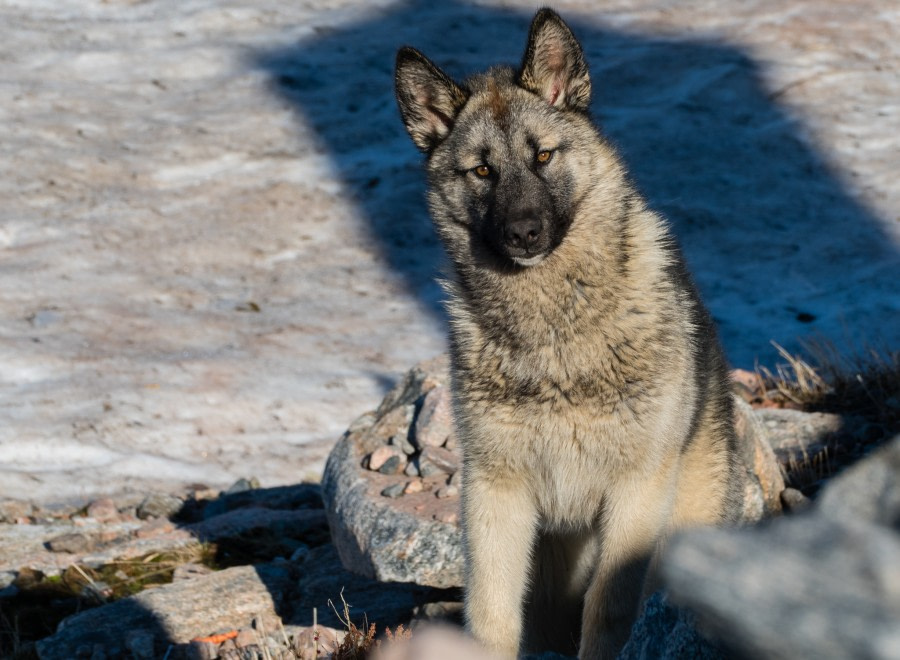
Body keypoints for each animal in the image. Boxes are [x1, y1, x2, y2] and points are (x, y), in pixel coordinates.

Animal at [398, 7, 740, 656]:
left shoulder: (633, 494)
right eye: (482, 171)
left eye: (543, 157)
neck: (554, 339)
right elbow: (490, 612)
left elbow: (607, 611)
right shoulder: (494, 491)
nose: (524, 233)